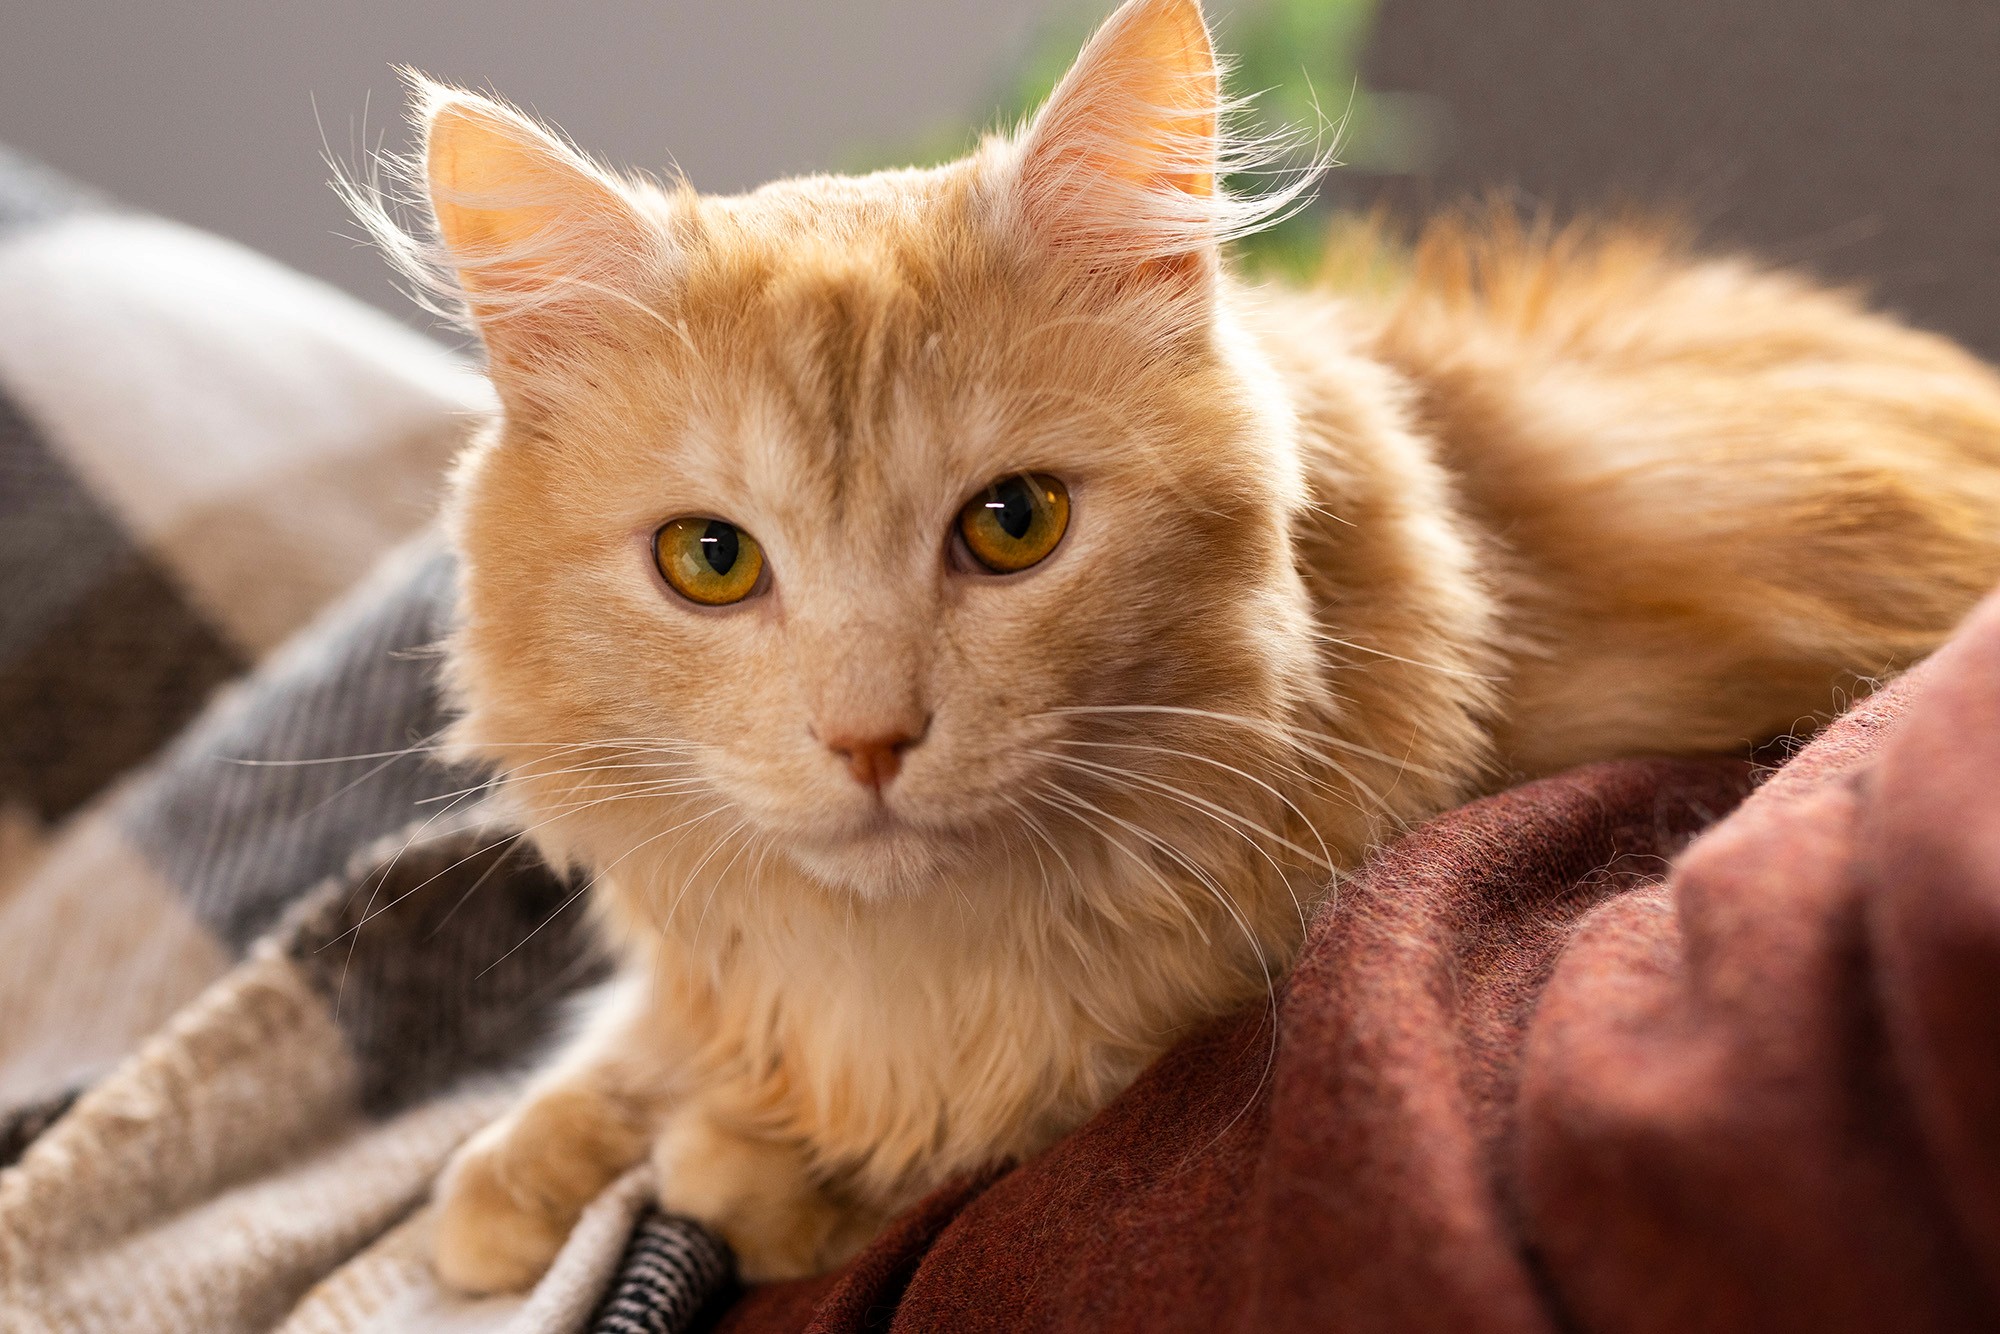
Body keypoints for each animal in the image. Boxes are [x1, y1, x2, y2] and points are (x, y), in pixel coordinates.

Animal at [352, 0, 2000, 1296]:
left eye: (1013, 524)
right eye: (711, 560)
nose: (871, 739)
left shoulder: (1153, 1025)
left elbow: (899, 1149)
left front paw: (739, 1171)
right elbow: (624, 1041)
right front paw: (522, 1172)